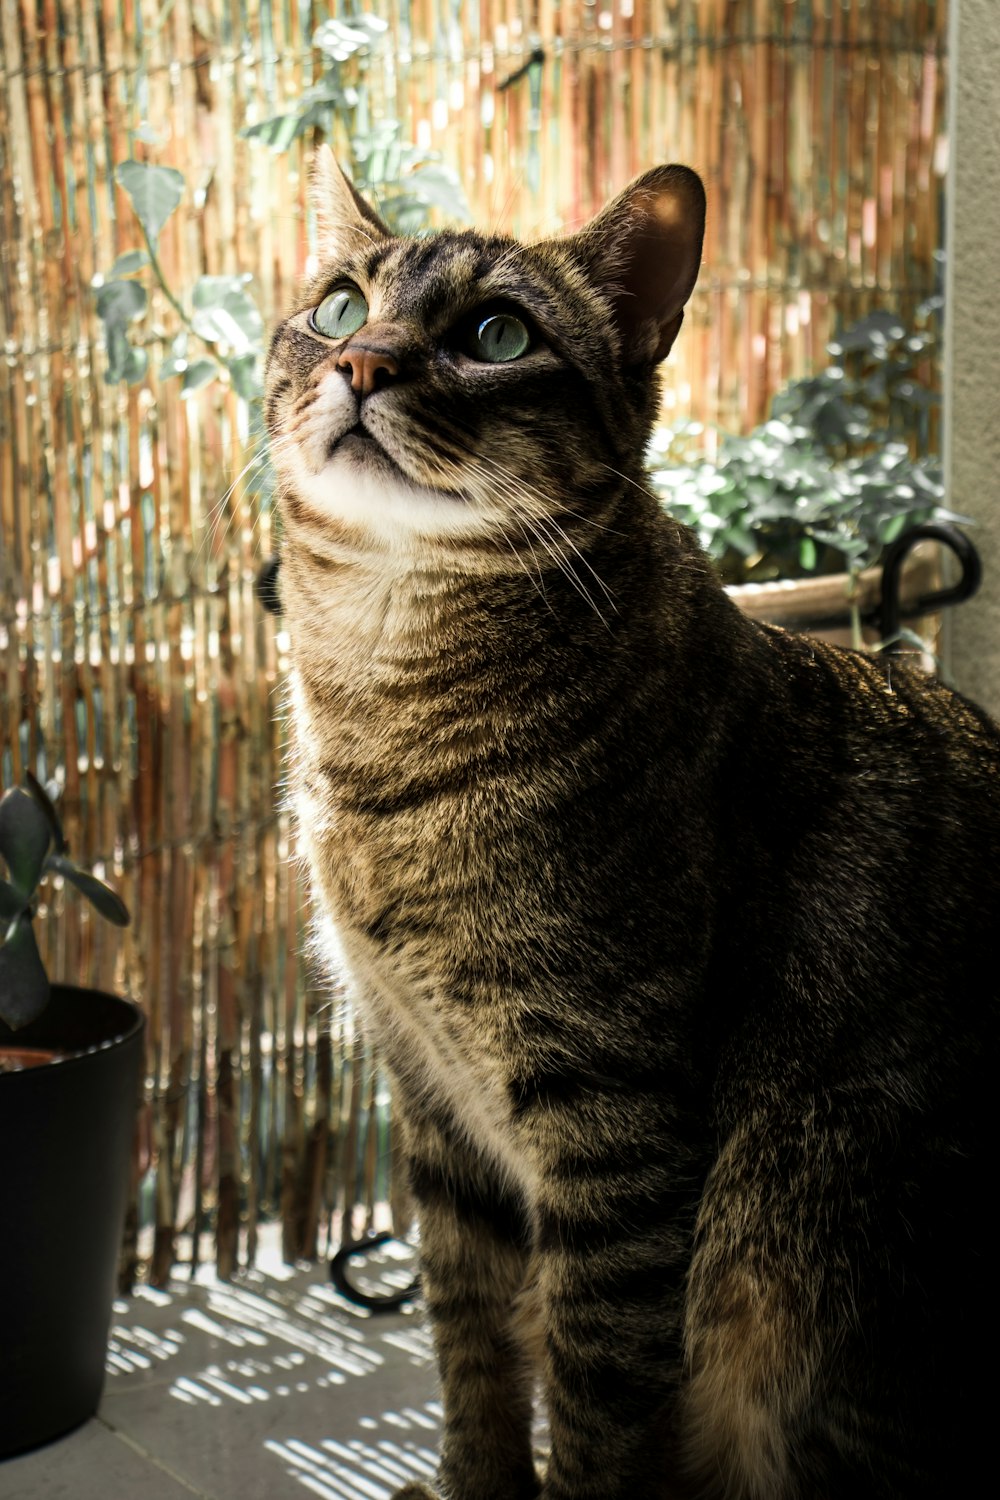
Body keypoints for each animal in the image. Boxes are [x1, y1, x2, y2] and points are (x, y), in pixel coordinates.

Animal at [265, 143, 1000, 1500]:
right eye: (340, 307)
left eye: (496, 334)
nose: (362, 362)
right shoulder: (431, 1104)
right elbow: (472, 1356)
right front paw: (468, 1480)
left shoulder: (611, 1118)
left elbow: (597, 1403)